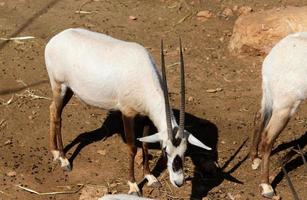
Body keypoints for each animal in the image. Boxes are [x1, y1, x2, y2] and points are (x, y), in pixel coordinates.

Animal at [45, 28, 212, 196]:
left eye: (185, 151)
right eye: (165, 150)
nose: (178, 182)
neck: (143, 75)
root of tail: (55, 39)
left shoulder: (145, 117)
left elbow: (144, 144)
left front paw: (150, 177)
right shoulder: (127, 113)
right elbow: (132, 148)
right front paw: (133, 185)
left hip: (69, 90)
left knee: (52, 110)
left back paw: (54, 152)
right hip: (59, 86)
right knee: (58, 117)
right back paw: (64, 160)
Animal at [251, 31, 307, 198]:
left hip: (268, 97)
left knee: (259, 117)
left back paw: (254, 159)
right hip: (285, 107)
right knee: (267, 138)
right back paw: (266, 187)